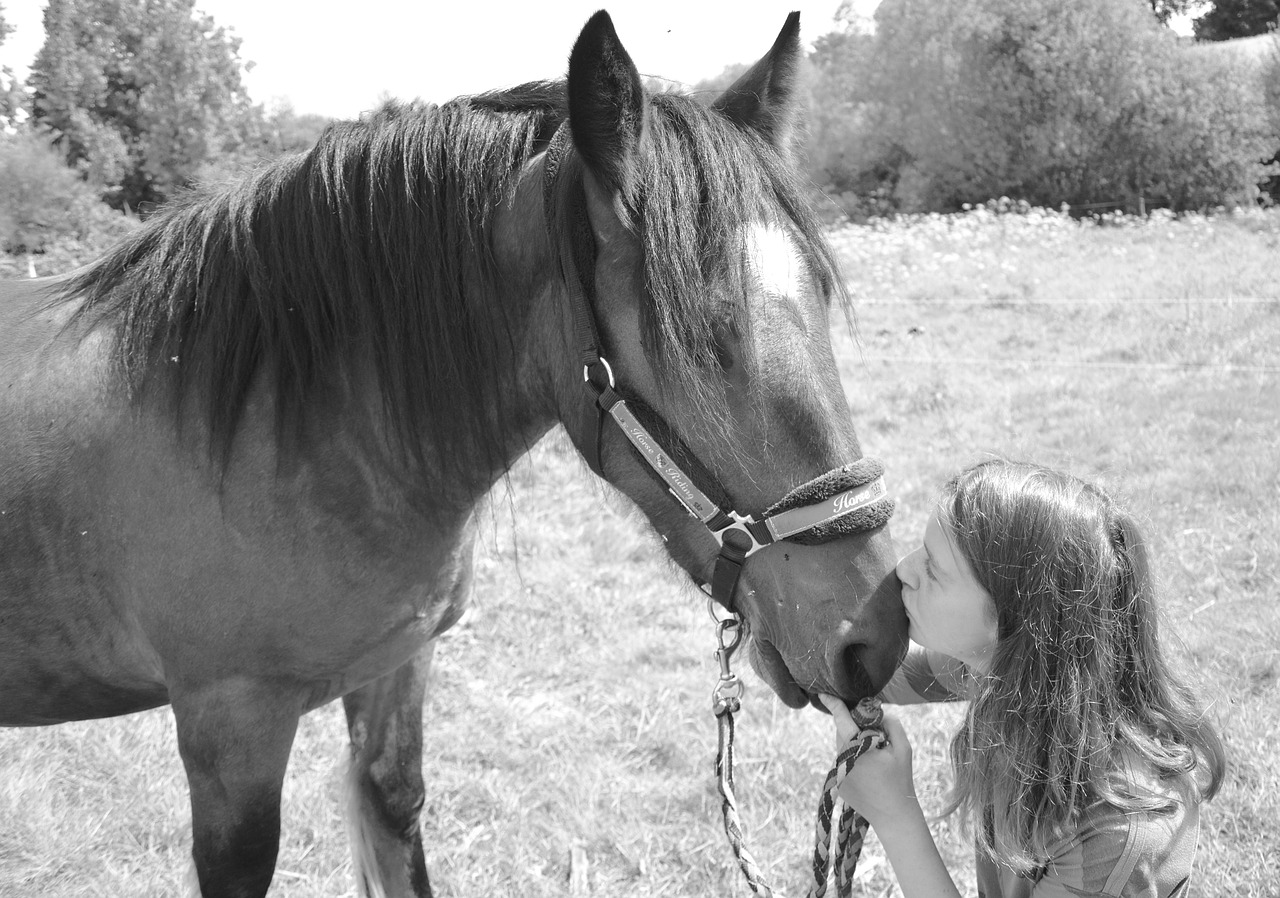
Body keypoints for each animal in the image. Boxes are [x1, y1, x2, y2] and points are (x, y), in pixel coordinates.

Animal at [0, 10, 906, 898]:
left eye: (821, 299)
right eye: (706, 335)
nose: (875, 635)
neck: (276, 427)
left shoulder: (397, 670)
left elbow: (395, 813)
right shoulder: (231, 723)